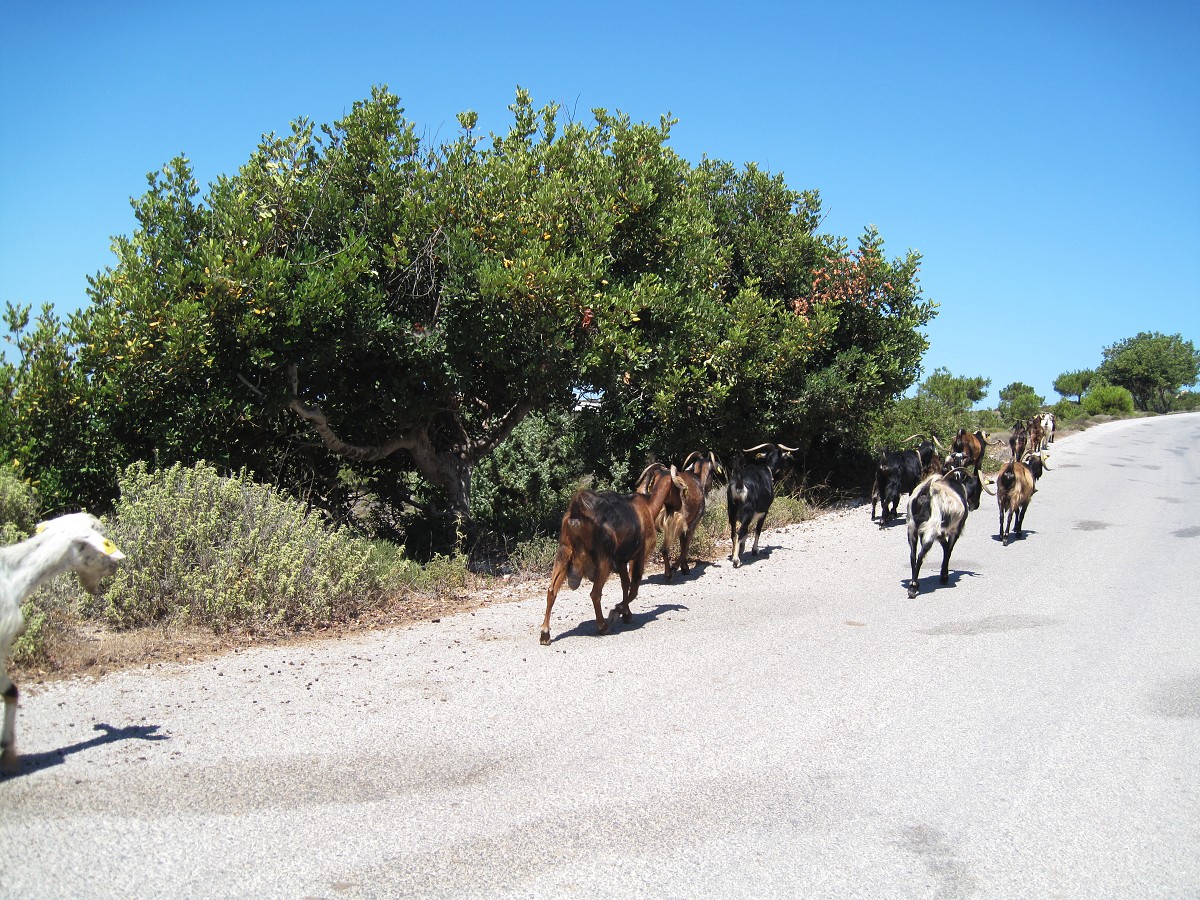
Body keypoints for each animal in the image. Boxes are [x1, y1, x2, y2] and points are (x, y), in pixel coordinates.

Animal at [542, 465, 691, 648]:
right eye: (678, 488)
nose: (680, 504)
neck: (648, 507)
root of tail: (577, 511)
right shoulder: (640, 554)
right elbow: (634, 588)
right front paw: (617, 611)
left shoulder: (621, 560)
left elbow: (625, 584)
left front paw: (626, 613)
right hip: (603, 558)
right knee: (595, 593)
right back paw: (603, 626)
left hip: (564, 551)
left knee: (551, 590)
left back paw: (545, 633)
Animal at [902, 468, 988, 602]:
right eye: (978, 487)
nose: (976, 505)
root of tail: (925, 494)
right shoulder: (954, 530)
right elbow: (949, 550)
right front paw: (944, 577)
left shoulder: (938, 534)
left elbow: (946, 547)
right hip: (931, 529)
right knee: (921, 555)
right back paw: (913, 589)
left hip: (912, 528)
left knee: (913, 555)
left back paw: (914, 583)